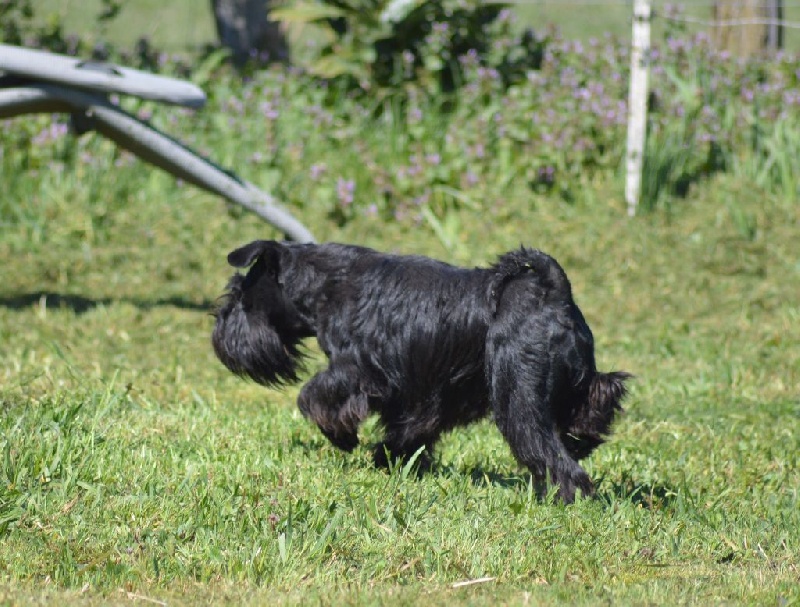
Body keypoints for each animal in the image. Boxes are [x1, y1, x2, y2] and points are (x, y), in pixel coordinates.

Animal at [212, 241, 632, 504]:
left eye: (239, 294)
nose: (218, 332)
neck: (324, 285)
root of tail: (556, 291)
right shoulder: (423, 393)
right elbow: (412, 428)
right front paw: (392, 461)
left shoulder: (356, 371)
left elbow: (314, 397)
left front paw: (342, 437)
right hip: (572, 384)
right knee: (598, 398)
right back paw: (582, 441)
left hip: (519, 397)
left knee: (551, 454)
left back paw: (565, 497)